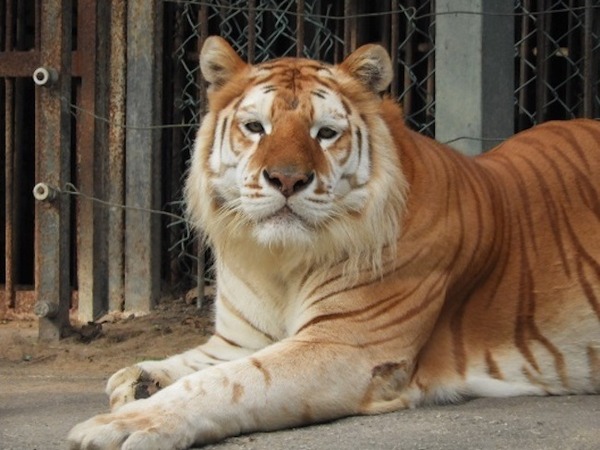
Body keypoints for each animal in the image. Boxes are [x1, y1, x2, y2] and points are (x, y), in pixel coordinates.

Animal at [67, 36, 600, 450]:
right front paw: (138, 380)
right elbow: (195, 364)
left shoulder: (344, 345)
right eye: (255, 127)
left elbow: (227, 383)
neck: (277, 262)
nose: (286, 178)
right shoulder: (240, 340)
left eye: (325, 133)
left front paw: (129, 421)